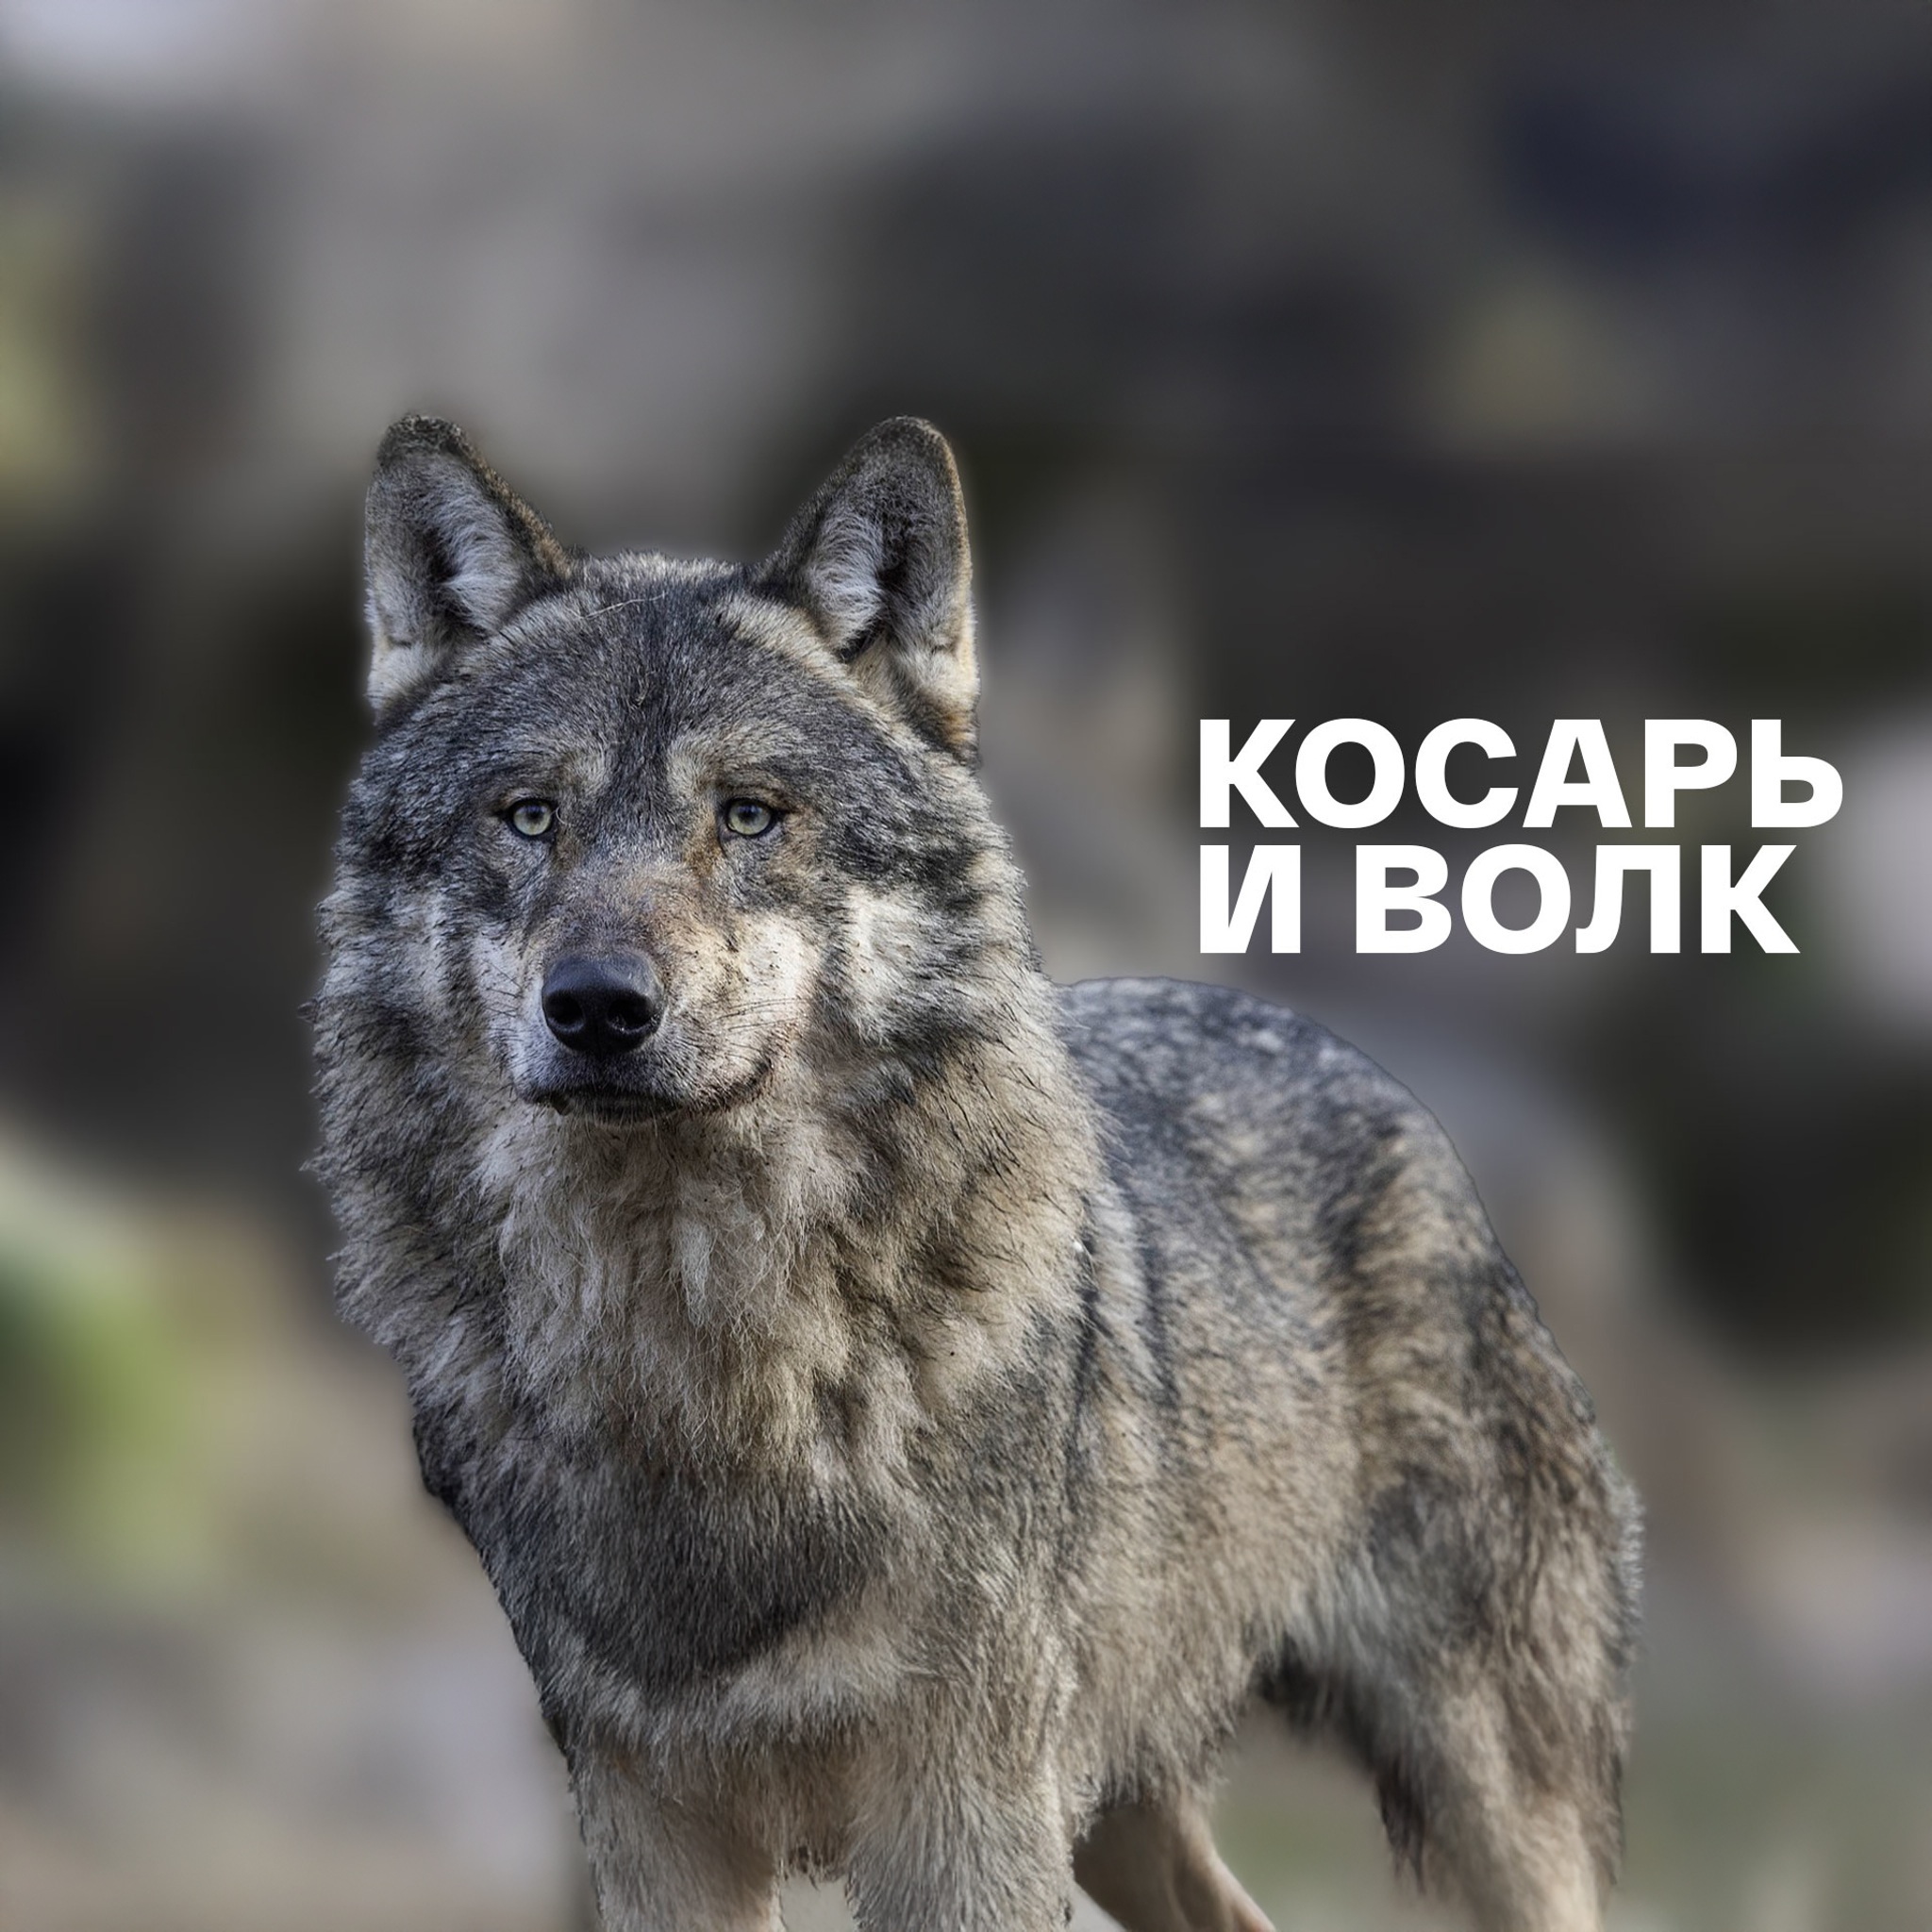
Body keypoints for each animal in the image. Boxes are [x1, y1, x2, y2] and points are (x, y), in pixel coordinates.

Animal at [314, 413, 1640, 1932]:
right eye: (529, 816)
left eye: (750, 816)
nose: (595, 1006)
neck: (704, 1370)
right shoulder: (645, 1826)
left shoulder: (963, 1825)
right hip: (1121, 1812)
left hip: (1482, 1793)